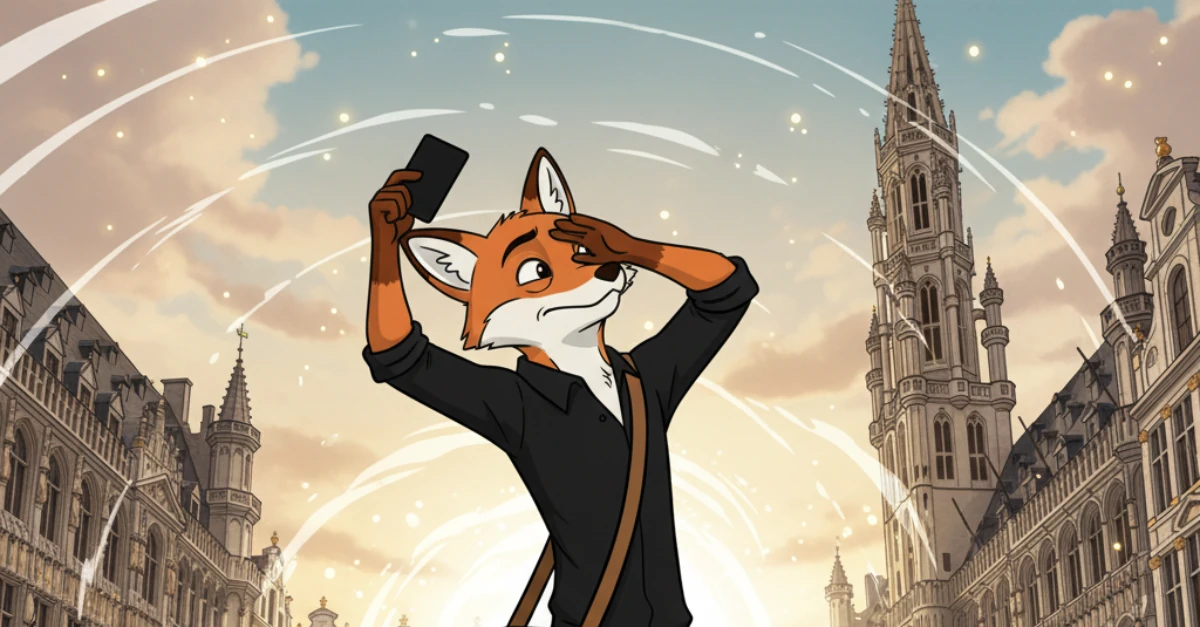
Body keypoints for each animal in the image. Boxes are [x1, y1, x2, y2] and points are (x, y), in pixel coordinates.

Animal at [363, 147, 758, 627]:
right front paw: (388, 216)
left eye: (582, 249)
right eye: (535, 270)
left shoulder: (656, 370)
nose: (608, 267)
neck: (582, 365)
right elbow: (407, 352)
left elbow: (723, 293)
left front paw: (614, 237)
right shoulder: (503, 401)